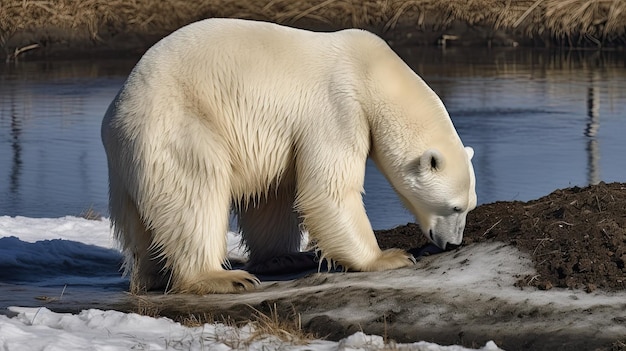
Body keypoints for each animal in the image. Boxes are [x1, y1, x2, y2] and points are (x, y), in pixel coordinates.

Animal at [101, 17, 472, 296]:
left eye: (468, 207)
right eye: (455, 207)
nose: (453, 243)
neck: (371, 70)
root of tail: (116, 116)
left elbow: (281, 190)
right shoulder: (338, 108)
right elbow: (329, 188)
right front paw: (389, 258)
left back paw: (281, 259)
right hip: (180, 125)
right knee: (194, 192)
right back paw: (220, 277)